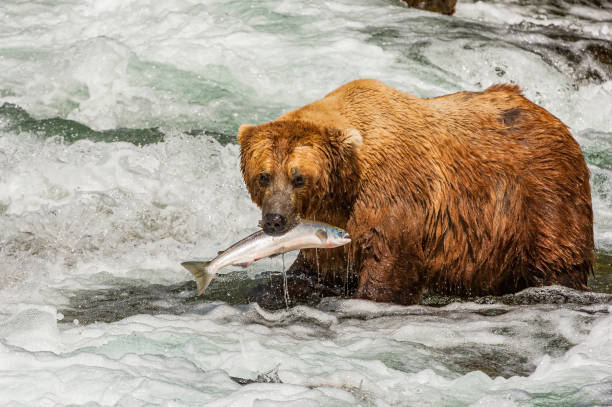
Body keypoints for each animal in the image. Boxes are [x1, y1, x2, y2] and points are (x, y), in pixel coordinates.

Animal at [238, 79, 592, 306]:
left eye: (298, 177)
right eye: (264, 176)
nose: (275, 219)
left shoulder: (392, 198)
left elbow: (390, 267)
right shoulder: (331, 229)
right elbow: (312, 271)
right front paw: (271, 289)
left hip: (543, 199)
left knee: (557, 261)